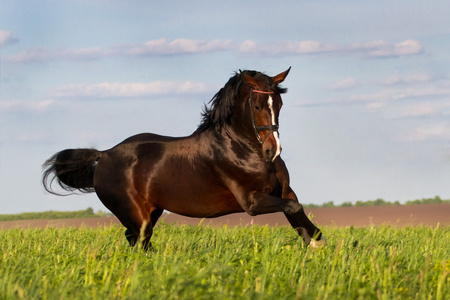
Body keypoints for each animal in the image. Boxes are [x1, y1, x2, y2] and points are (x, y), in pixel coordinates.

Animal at [42, 69, 326, 250]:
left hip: (152, 211)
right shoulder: (252, 202)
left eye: (278, 104)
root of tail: (104, 154)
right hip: (135, 214)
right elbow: (293, 209)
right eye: (256, 106)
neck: (240, 148)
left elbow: (296, 211)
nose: (272, 151)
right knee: (140, 241)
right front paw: (317, 245)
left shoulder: (285, 191)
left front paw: (316, 244)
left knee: (135, 240)